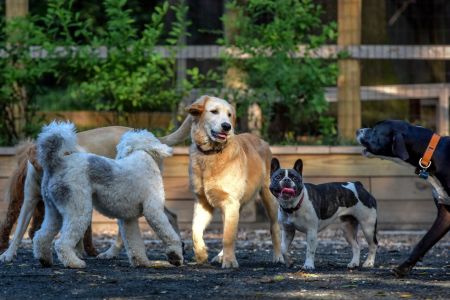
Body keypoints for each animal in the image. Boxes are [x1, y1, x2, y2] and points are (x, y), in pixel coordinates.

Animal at [189, 95, 282, 268]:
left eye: (229, 114)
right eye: (214, 111)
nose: (227, 126)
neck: (211, 154)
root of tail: (261, 140)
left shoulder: (230, 202)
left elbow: (228, 237)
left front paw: (230, 261)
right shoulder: (203, 201)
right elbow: (195, 230)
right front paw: (201, 254)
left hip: (269, 199)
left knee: (275, 227)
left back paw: (278, 256)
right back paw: (220, 255)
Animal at [356, 119, 450, 276]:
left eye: (375, 130)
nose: (358, 130)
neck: (433, 153)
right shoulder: (445, 214)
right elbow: (423, 242)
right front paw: (403, 268)